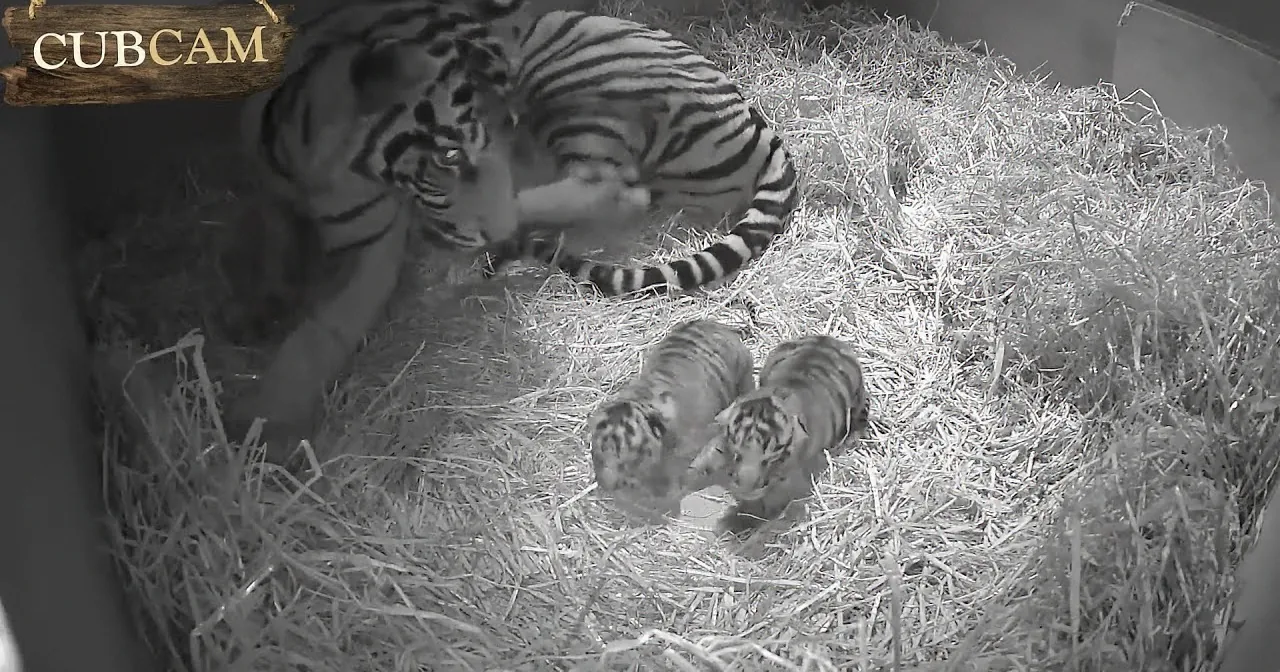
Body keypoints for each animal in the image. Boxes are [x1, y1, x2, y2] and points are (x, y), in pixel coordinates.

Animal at [226, 0, 650, 458]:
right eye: (449, 156)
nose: (501, 233)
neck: (315, 165)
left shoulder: (371, 252)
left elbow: (320, 332)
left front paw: (267, 425)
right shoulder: (265, 186)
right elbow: (272, 236)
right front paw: (261, 305)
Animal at [683, 334, 870, 535]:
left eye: (770, 460)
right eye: (737, 455)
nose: (746, 489)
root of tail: (826, 338)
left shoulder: (788, 482)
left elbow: (764, 505)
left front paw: (734, 521)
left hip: (857, 401)